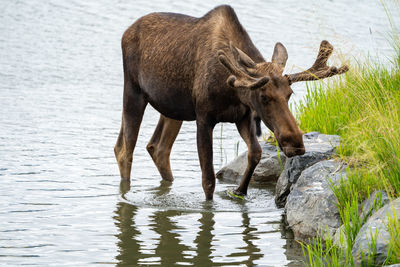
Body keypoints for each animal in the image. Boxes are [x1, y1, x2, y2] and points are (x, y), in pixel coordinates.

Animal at [114, 5, 348, 200]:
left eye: (289, 94)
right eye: (263, 97)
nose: (296, 144)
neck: (231, 90)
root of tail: (125, 32)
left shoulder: (243, 117)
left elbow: (255, 153)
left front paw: (239, 191)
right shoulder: (204, 118)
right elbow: (208, 179)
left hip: (173, 109)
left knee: (157, 147)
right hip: (133, 91)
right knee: (125, 150)